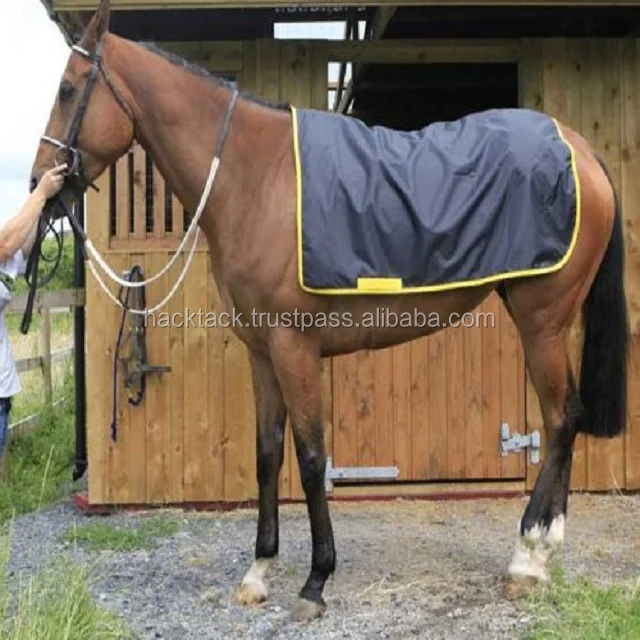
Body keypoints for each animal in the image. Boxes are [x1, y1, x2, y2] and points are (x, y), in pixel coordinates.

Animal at [30, 0, 629, 622]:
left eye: (69, 90)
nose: (38, 182)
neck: (256, 178)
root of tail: (579, 150)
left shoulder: (295, 348)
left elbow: (312, 456)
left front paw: (316, 580)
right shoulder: (262, 353)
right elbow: (268, 454)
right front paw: (259, 571)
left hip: (543, 322)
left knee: (561, 419)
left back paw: (528, 557)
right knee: (565, 419)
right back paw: (542, 552)